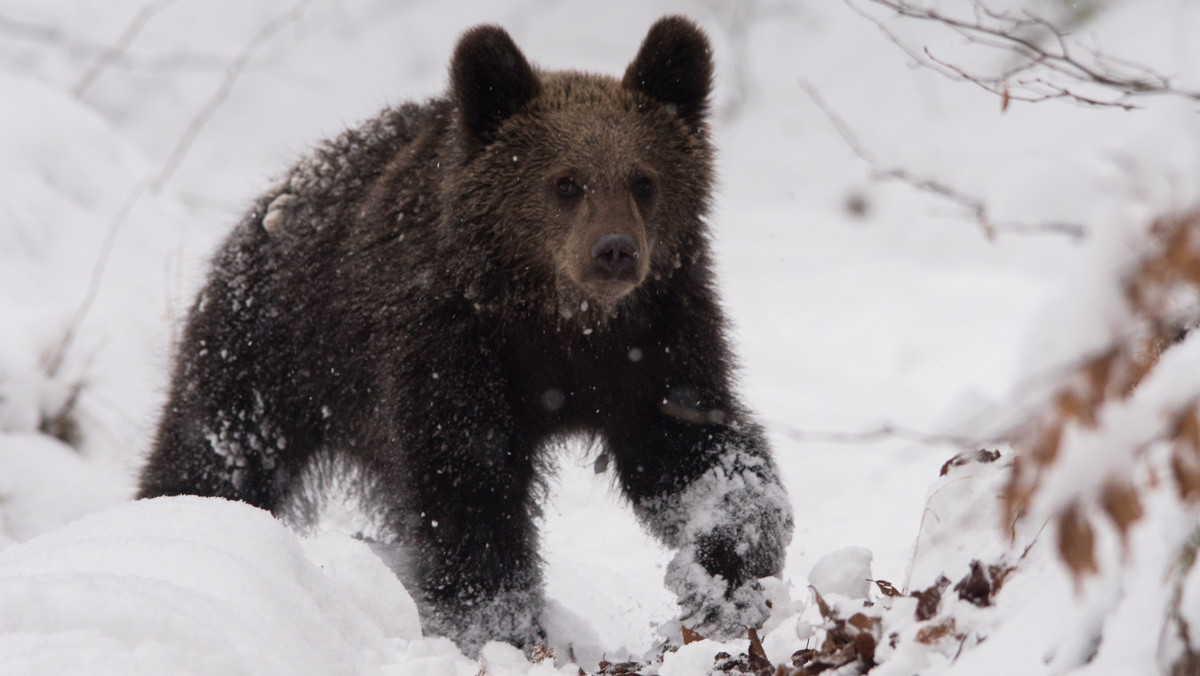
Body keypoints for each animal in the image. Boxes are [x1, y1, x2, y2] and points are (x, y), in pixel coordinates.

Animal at [140, 15, 792, 657]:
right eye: (565, 182)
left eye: (644, 180)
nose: (615, 250)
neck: (559, 320)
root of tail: (274, 197)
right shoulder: (449, 345)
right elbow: (467, 485)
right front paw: (499, 629)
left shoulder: (655, 340)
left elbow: (694, 450)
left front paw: (722, 577)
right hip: (271, 348)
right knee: (216, 452)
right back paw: (175, 516)